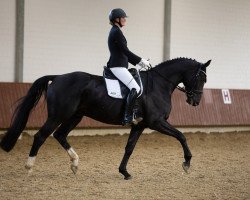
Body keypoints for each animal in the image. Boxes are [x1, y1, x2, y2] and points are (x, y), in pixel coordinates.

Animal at [0, 57, 211, 180]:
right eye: (201, 78)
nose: (195, 101)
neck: (158, 84)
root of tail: (58, 77)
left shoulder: (139, 125)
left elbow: (129, 148)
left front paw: (124, 172)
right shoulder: (156, 122)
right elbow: (181, 136)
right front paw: (187, 163)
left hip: (75, 116)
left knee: (60, 135)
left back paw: (75, 164)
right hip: (58, 115)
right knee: (41, 136)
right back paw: (29, 167)